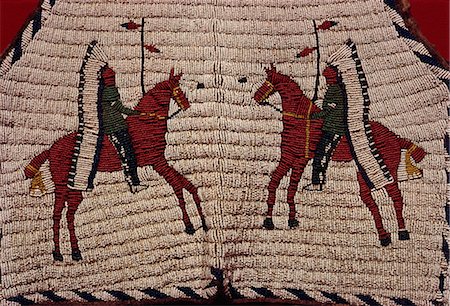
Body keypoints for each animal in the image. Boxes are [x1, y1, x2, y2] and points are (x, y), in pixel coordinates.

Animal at [24, 69, 207, 260]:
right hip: (63, 185)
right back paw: (60, 253)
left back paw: (73, 252)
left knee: (68, 214)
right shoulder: (157, 162)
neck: (146, 123)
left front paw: (201, 222)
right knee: (58, 214)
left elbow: (187, 185)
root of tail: (52, 148)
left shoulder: (160, 161)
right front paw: (190, 224)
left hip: (71, 188)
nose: (187, 106)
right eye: (178, 90)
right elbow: (178, 186)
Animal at [253, 66, 426, 246]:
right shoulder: (287, 156)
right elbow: (274, 182)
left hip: (387, 168)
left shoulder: (301, 158)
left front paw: (291, 219)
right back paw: (385, 236)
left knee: (396, 197)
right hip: (365, 173)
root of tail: (394, 136)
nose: (256, 97)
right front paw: (269, 220)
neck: (300, 119)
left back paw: (402, 232)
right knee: (371, 199)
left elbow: (291, 188)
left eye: (267, 83)